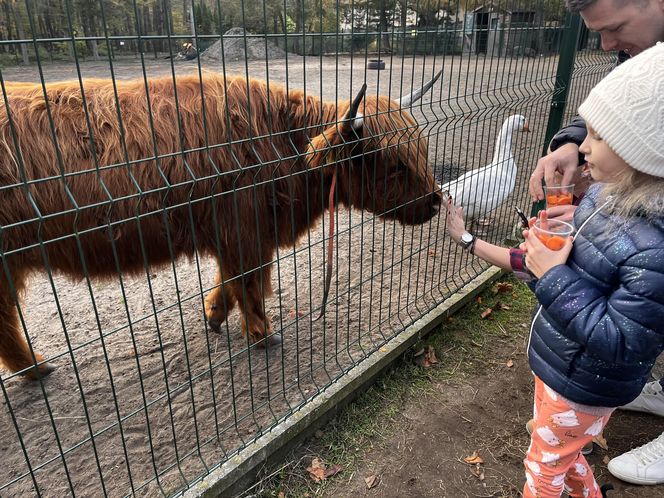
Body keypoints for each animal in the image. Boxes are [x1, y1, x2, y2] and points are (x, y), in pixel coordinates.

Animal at [1, 70, 446, 380]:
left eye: (421, 150)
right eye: (396, 164)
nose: (437, 201)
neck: (284, 144)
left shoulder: (233, 233)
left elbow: (228, 280)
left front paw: (213, 315)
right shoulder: (244, 231)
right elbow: (249, 282)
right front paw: (262, 334)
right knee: (5, 317)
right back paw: (37, 367)